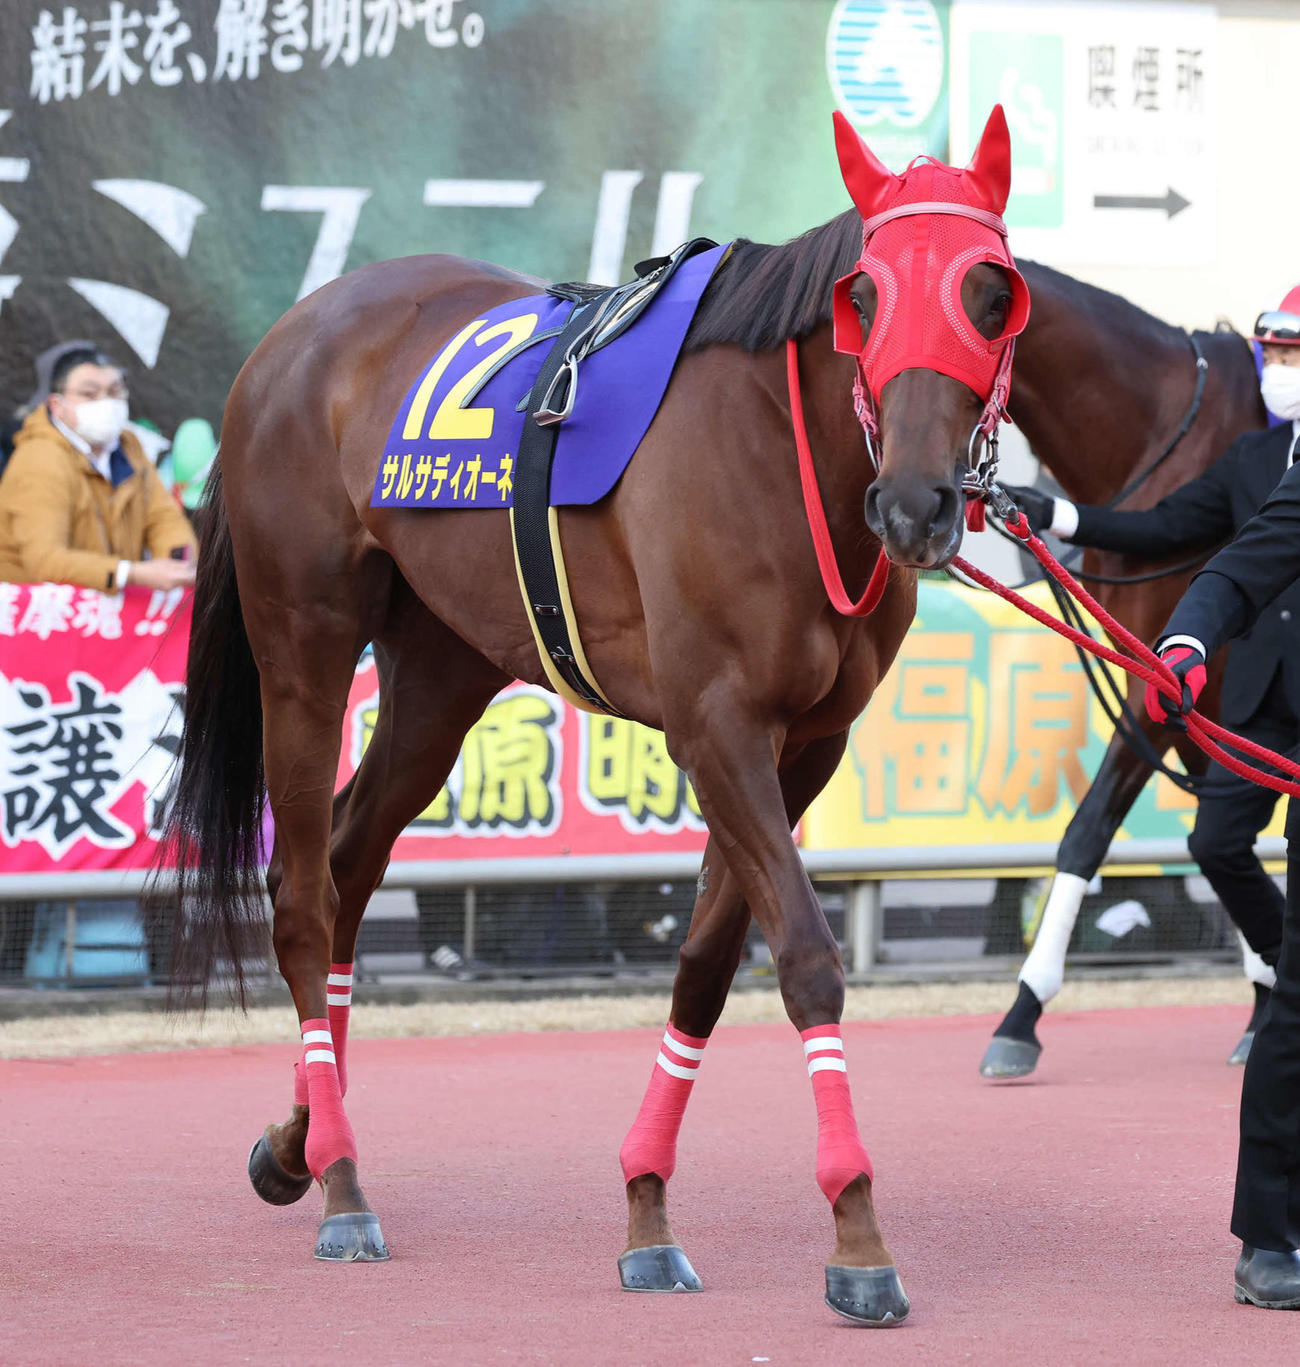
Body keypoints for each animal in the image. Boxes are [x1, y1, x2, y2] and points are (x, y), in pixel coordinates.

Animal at [163, 109, 1025, 1324]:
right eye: (862, 292)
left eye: (991, 293)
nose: (913, 504)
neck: (781, 447)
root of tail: (291, 335)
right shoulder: (716, 723)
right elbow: (806, 953)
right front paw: (858, 1233)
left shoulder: (806, 742)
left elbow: (707, 964)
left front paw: (647, 1208)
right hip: (305, 642)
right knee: (300, 897)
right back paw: (340, 1187)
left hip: (441, 667)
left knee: (348, 864)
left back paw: (298, 1141)